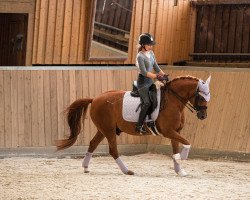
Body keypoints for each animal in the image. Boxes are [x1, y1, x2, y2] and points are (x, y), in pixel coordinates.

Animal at [57, 75, 211, 177]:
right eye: (201, 96)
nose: (203, 116)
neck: (173, 101)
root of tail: (94, 99)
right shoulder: (168, 131)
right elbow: (187, 143)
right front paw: (182, 157)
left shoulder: (175, 132)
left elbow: (176, 149)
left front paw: (180, 170)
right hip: (109, 130)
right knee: (113, 150)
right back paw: (127, 171)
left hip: (103, 129)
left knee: (93, 144)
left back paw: (85, 167)